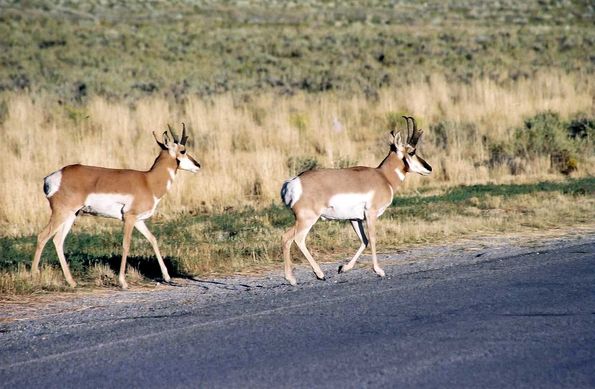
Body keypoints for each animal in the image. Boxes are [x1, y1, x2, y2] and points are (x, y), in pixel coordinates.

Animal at [31, 124, 201, 288]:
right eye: (183, 150)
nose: (198, 165)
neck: (148, 181)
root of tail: (51, 177)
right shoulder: (129, 218)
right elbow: (126, 245)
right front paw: (123, 282)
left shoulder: (139, 221)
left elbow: (153, 239)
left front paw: (167, 277)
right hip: (61, 213)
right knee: (42, 236)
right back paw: (33, 277)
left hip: (71, 216)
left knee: (57, 240)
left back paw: (72, 282)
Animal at [282, 116, 430, 284]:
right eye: (412, 151)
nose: (429, 168)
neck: (383, 177)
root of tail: (293, 182)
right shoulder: (371, 214)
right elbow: (372, 238)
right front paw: (379, 271)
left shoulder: (354, 219)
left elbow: (364, 240)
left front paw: (343, 268)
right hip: (307, 220)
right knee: (294, 238)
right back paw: (313, 275)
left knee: (286, 238)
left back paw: (298, 277)